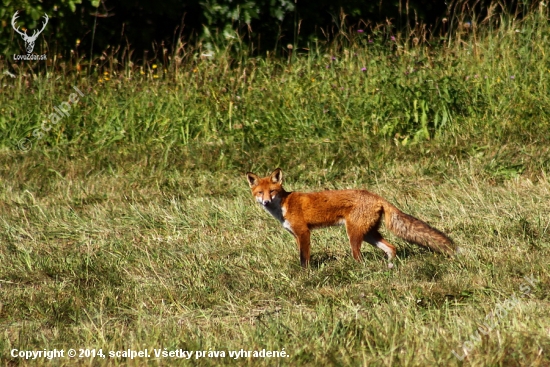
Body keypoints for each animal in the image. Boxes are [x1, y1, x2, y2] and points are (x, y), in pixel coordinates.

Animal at [247, 168, 458, 268]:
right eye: (260, 193)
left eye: (272, 191)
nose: (266, 202)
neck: (284, 205)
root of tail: (377, 196)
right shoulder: (297, 235)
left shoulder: (304, 232)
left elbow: (304, 259)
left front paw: (305, 275)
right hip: (369, 234)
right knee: (392, 248)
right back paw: (389, 266)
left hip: (354, 234)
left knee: (360, 258)